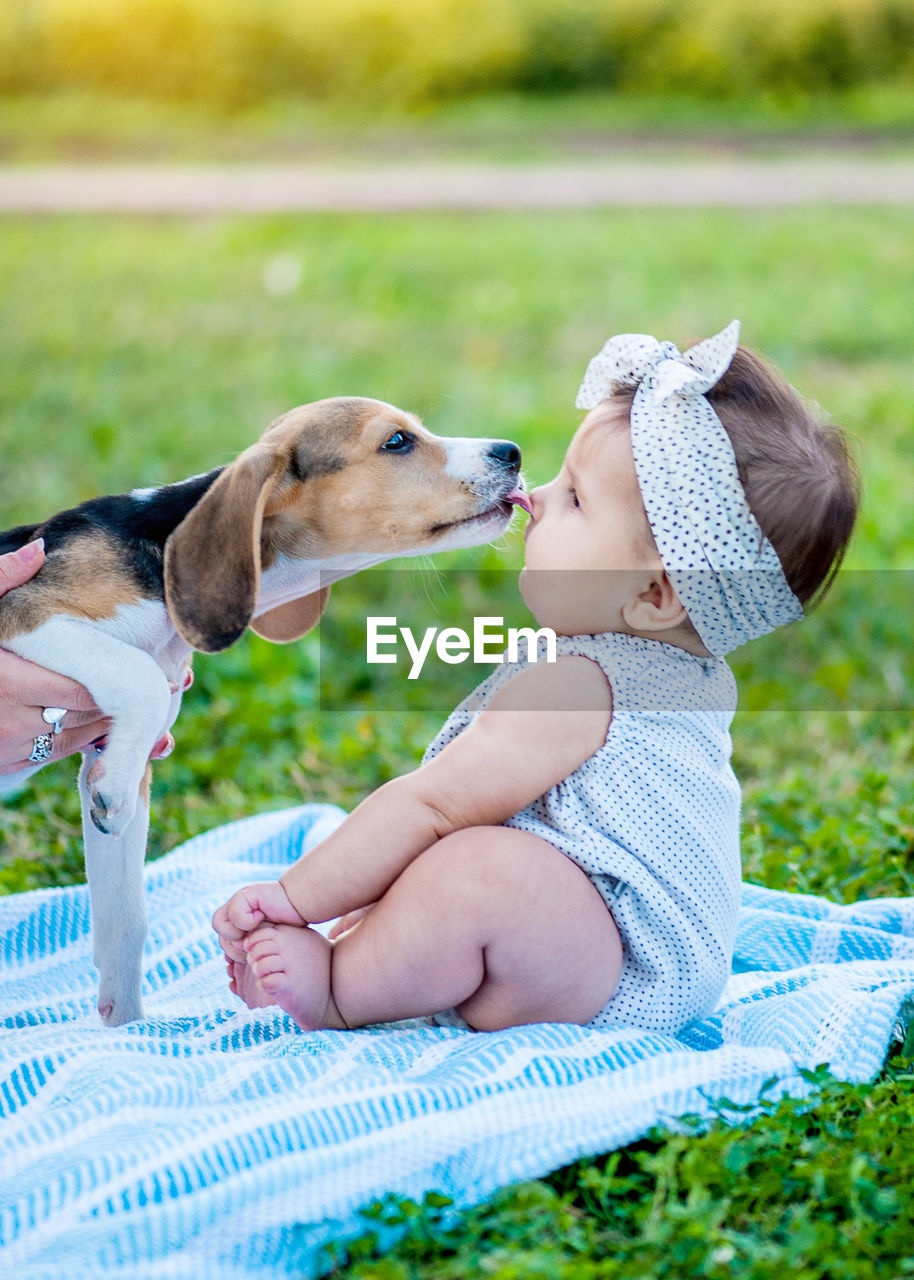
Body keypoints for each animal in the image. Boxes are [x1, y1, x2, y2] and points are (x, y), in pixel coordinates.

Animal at [0, 394, 527, 1024]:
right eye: (397, 441)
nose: (513, 451)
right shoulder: (25, 614)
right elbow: (140, 678)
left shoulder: (118, 747)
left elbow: (124, 917)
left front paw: (124, 1033)